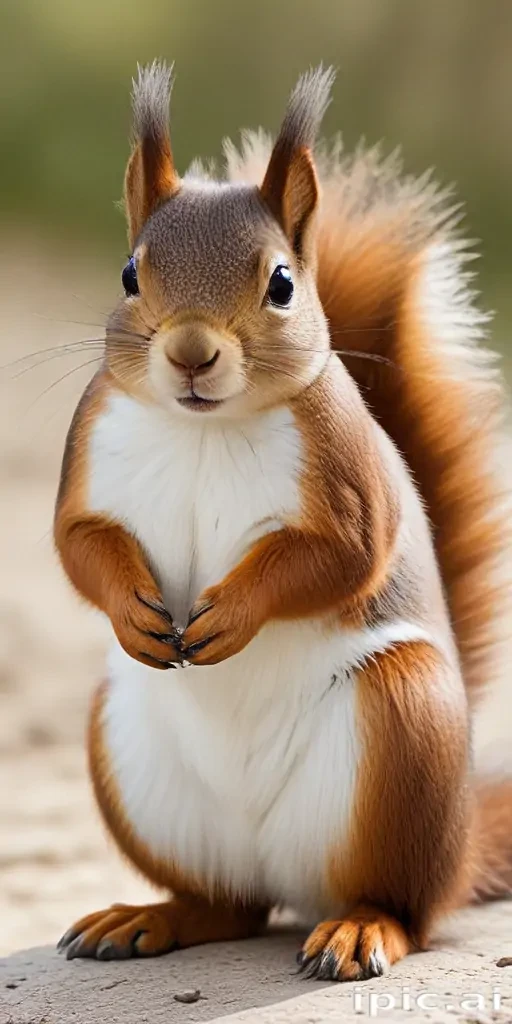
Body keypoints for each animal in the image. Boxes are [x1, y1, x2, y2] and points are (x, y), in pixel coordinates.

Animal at [54, 62, 512, 981]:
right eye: (128, 275)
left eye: (281, 285)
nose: (191, 353)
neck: (203, 426)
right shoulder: (86, 453)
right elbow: (78, 543)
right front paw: (131, 608)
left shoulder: (347, 480)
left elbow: (337, 559)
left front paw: (231, 612)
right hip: (136, 759)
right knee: (229, 905)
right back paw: (149, 918)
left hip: (403, 727)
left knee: (404, 904)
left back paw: (360, 930)